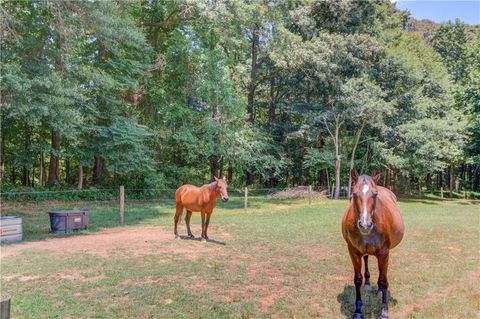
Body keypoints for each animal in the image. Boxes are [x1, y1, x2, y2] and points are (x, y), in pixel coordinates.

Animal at [342, 171, 404, 319]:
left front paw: (384, 311)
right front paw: (358, 310)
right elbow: (357, 279)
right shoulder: (353, 251)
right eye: (354, 194)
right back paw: (368, 283)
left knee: (382, 275)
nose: (365, 225)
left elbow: (384, 280)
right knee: (366, 258)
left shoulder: (384, 253)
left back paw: (380, 291)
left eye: (375, 194)